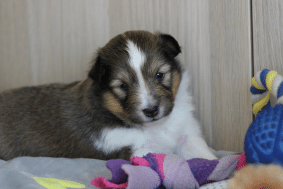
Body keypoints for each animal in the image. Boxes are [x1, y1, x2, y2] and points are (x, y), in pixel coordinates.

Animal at [0, 30, 217, 160]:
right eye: (123, 86)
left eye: (159, 74)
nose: (151, 111)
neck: (154, 127)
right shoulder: (134, 150)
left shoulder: (188, 134)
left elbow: (205, 157)